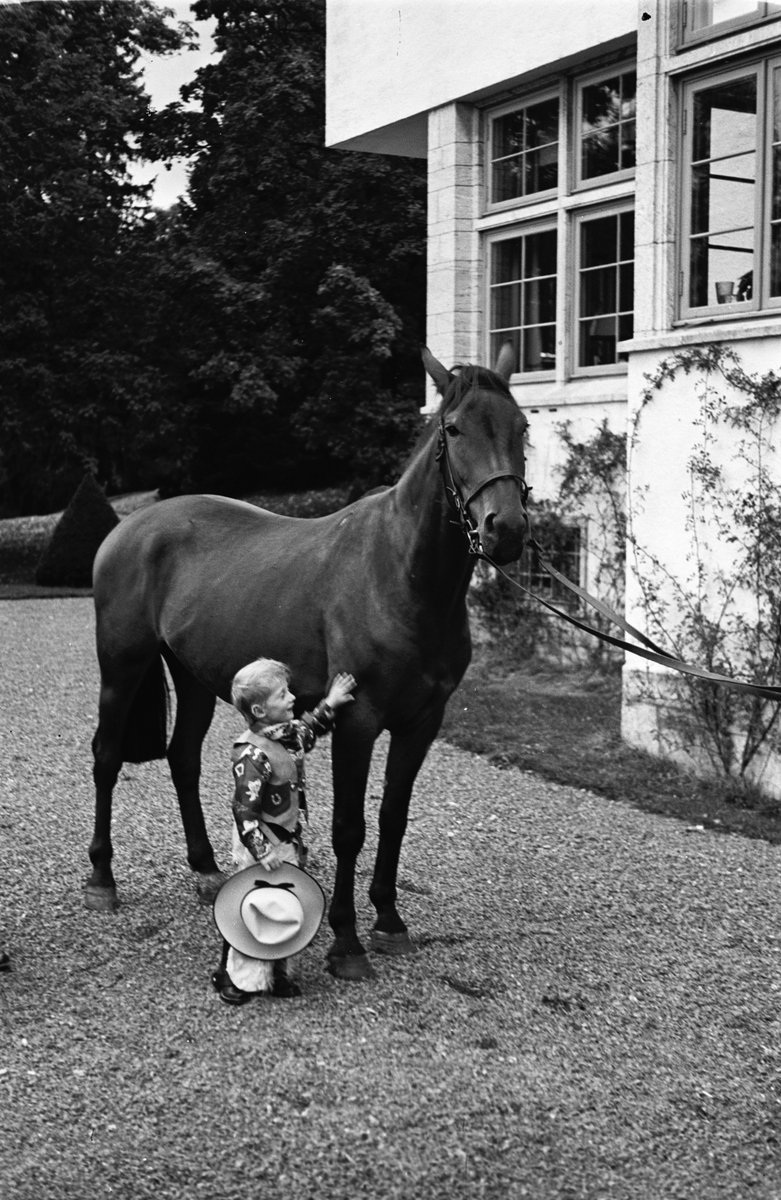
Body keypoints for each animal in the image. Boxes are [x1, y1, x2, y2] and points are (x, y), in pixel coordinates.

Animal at [86, 343, 532, 979]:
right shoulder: (358, 721)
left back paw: (205, 870)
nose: (507, 528)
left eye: (522, 427)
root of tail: (129, 528)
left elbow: (393, 817)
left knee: (182, 759)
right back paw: (102, 878)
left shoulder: (422, 723)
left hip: (192, 677)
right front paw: (346, 941)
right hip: (122, 666)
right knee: (106, 757)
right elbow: (350, 827)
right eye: (453, 428)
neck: (403, 574)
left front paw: (389, 919)